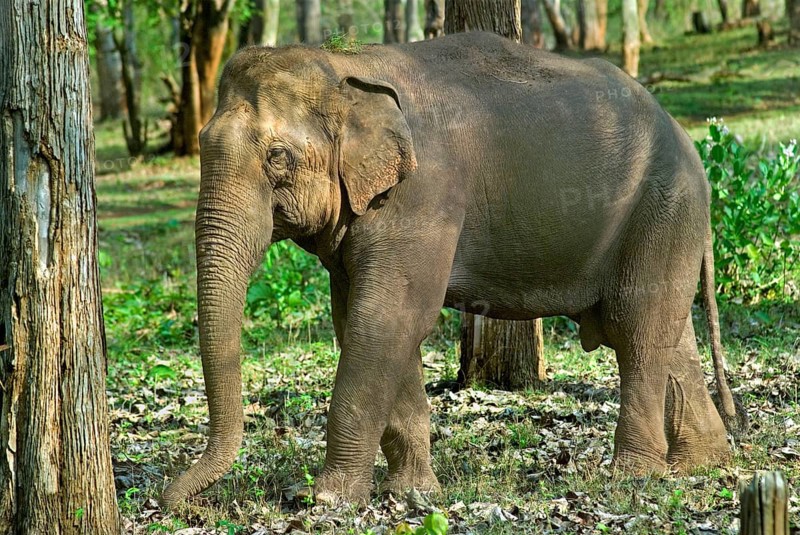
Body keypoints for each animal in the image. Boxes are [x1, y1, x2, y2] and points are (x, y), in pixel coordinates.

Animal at [160, 31, 743, 507]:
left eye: (277, 158)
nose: (170, 502)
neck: (345, 65)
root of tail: (691, 144)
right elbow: (361, 320)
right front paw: (410, 493)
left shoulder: (425, 195)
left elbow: (390, 317)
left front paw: (325, 500)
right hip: (664, 222)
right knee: (669, 332)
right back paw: (700, 464)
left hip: (661, 207)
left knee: (636, 330)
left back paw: (631, 477)